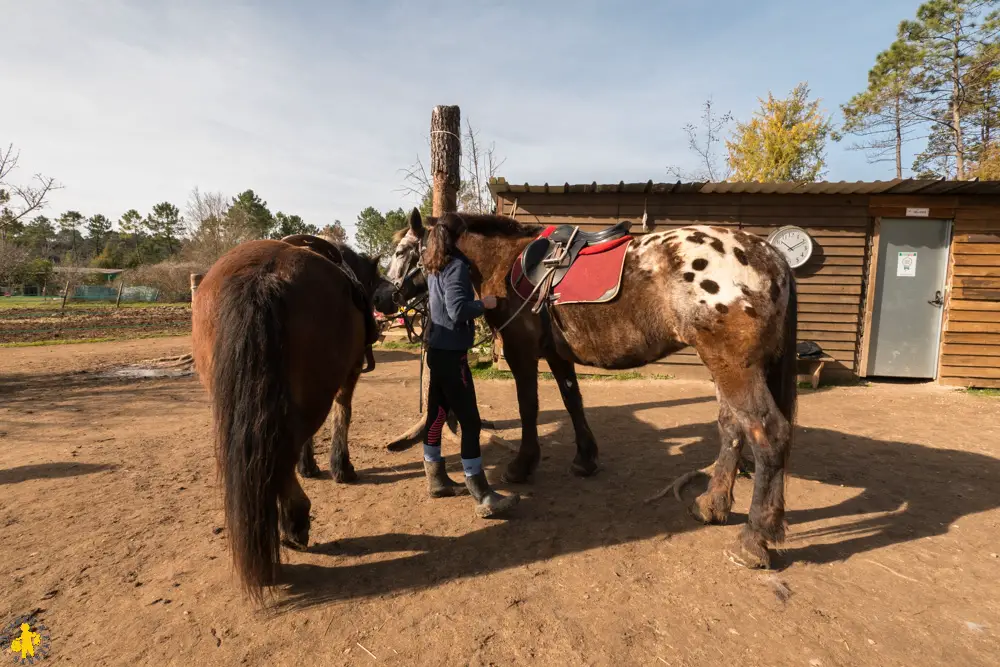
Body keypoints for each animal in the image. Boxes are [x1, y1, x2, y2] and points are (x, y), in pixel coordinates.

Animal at [191, 235, 382, 600]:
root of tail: (263, 275)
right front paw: (341, 467)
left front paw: (310, 466)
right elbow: (343, 414)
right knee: (279, 456)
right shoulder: (349, 374)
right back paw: (295, 523)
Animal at [372, 211, 800, 572]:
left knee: (768, 433)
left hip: (732, 365)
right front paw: (585, 458)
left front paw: (522, 465)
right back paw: (712, 506)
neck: (505, 262)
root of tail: (770, 254)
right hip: (724, 366)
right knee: (732, 428)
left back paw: (753, 539)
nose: (381, 298)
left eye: (401, 251)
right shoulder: (556, 354)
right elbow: (572, 401)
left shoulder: (521, 351)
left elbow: (529, 406)